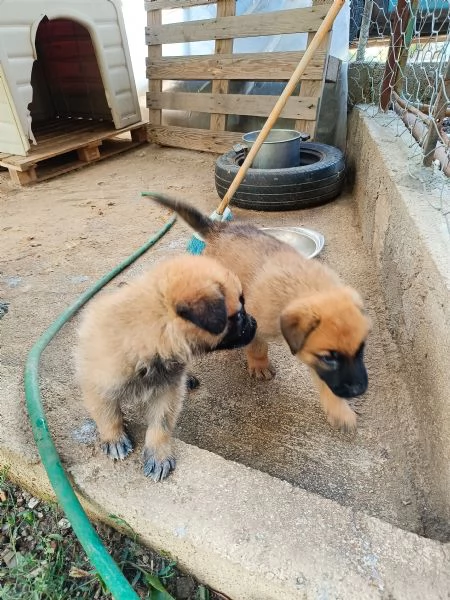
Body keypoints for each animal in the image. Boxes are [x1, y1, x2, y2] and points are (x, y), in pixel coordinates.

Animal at [75, 254, 255, 482]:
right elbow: (107, 415)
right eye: (239, 316)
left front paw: (158, 455)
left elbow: (160, 425)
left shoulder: (168, 390)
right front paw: (114, 439)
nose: (255, 323)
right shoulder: (97, 384)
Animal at [149, 195, 370, 434]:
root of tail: (219, 228)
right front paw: (259, 365)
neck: (309, 288)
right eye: (329, 357)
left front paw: (339, 411)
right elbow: (258, 346)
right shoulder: (256, 323)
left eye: (361, 348)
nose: (359, 390)